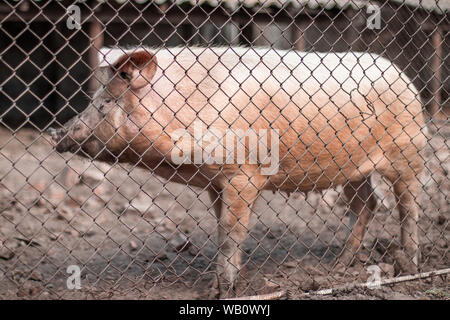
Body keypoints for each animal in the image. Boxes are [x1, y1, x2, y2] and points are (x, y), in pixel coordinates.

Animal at [48, 47, 426, 298]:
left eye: (104, 103)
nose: (54, 132)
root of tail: (405, 75)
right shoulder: (215, 181)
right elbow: (220, 225)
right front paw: (227, 284)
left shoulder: (242, 174)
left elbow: (231, 231)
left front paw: (223, 291)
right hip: (353, 169)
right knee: (366, 203)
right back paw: (339, 266)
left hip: (408, 152)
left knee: (408, 206)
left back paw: (410, 267)